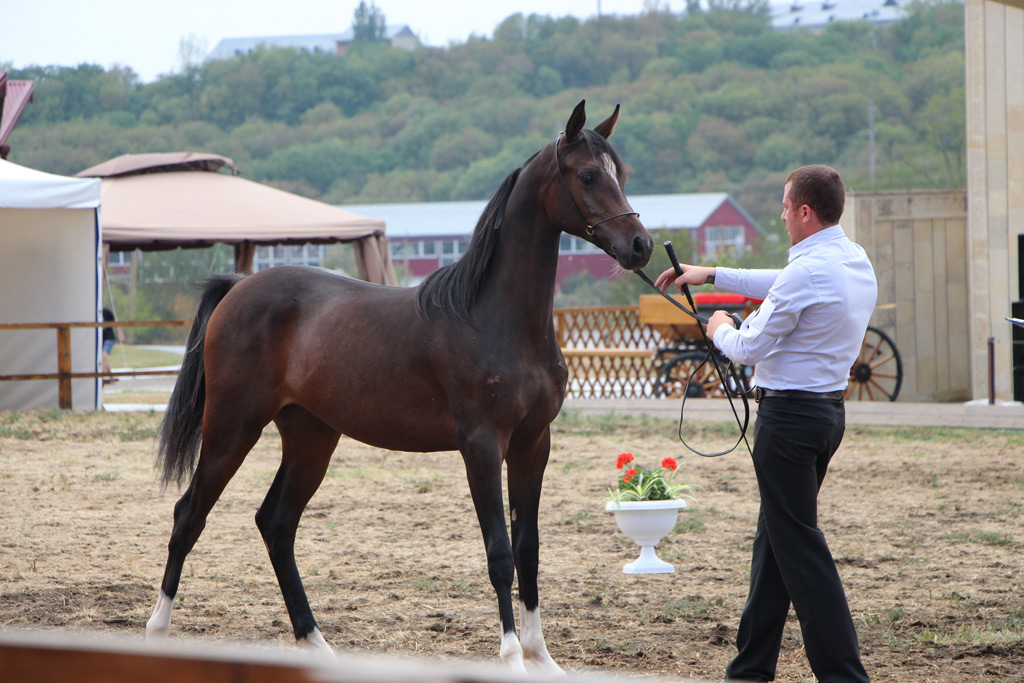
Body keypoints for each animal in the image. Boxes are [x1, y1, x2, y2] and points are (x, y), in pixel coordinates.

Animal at [145, 101, 655, 671]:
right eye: (587, 175)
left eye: (620, 174)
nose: (640, 246)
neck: (496, 318)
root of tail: (238, 288)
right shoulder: (481, 445)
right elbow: (499, 552)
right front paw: (510, 657)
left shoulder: (532, 444)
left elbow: (529, 549)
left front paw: (540, 656)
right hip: (232, 428)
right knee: (189, 515)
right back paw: (157, 632)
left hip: (310, 438)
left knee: (275, 524)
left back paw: (317, 644)